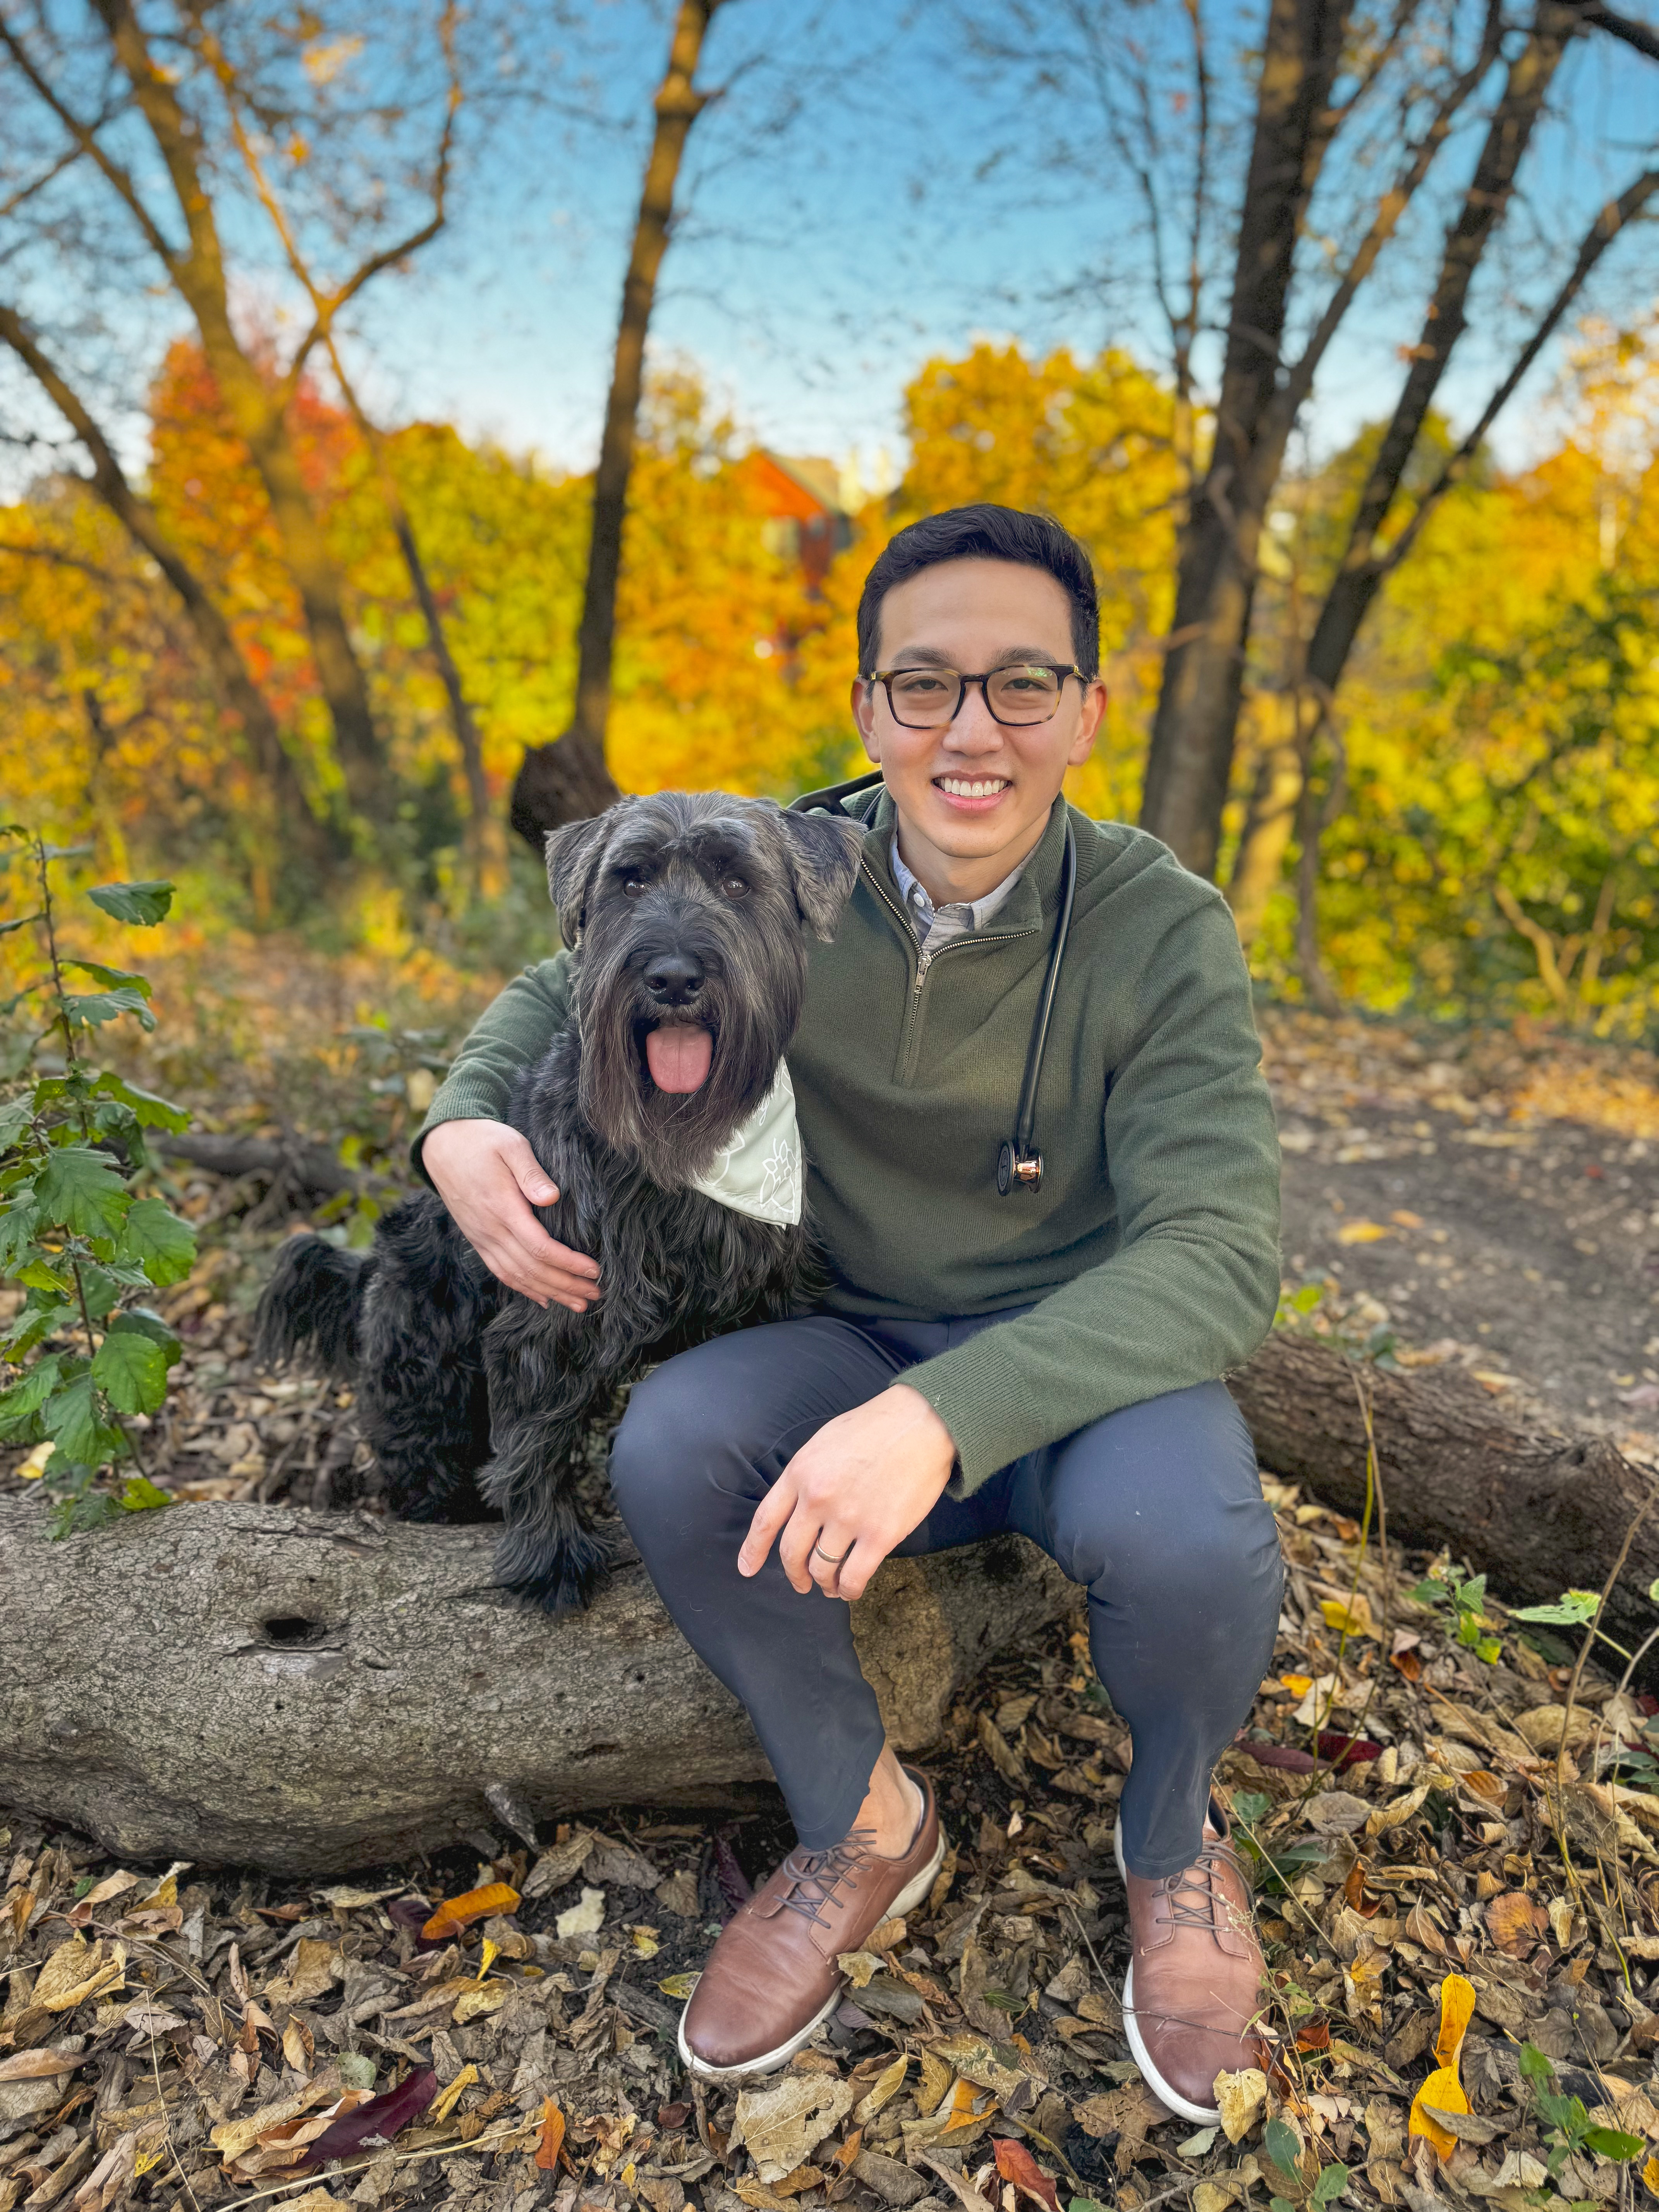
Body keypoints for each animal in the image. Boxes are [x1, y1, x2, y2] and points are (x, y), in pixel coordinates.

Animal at [260, 792, 871, 1610]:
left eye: (738, 883)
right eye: (630, 880)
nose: (672, 977)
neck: (674, 1142)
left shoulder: (764, 1294)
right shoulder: (548, 1312)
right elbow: (533, 1440)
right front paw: (547, 1554)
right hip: (426, 1354)